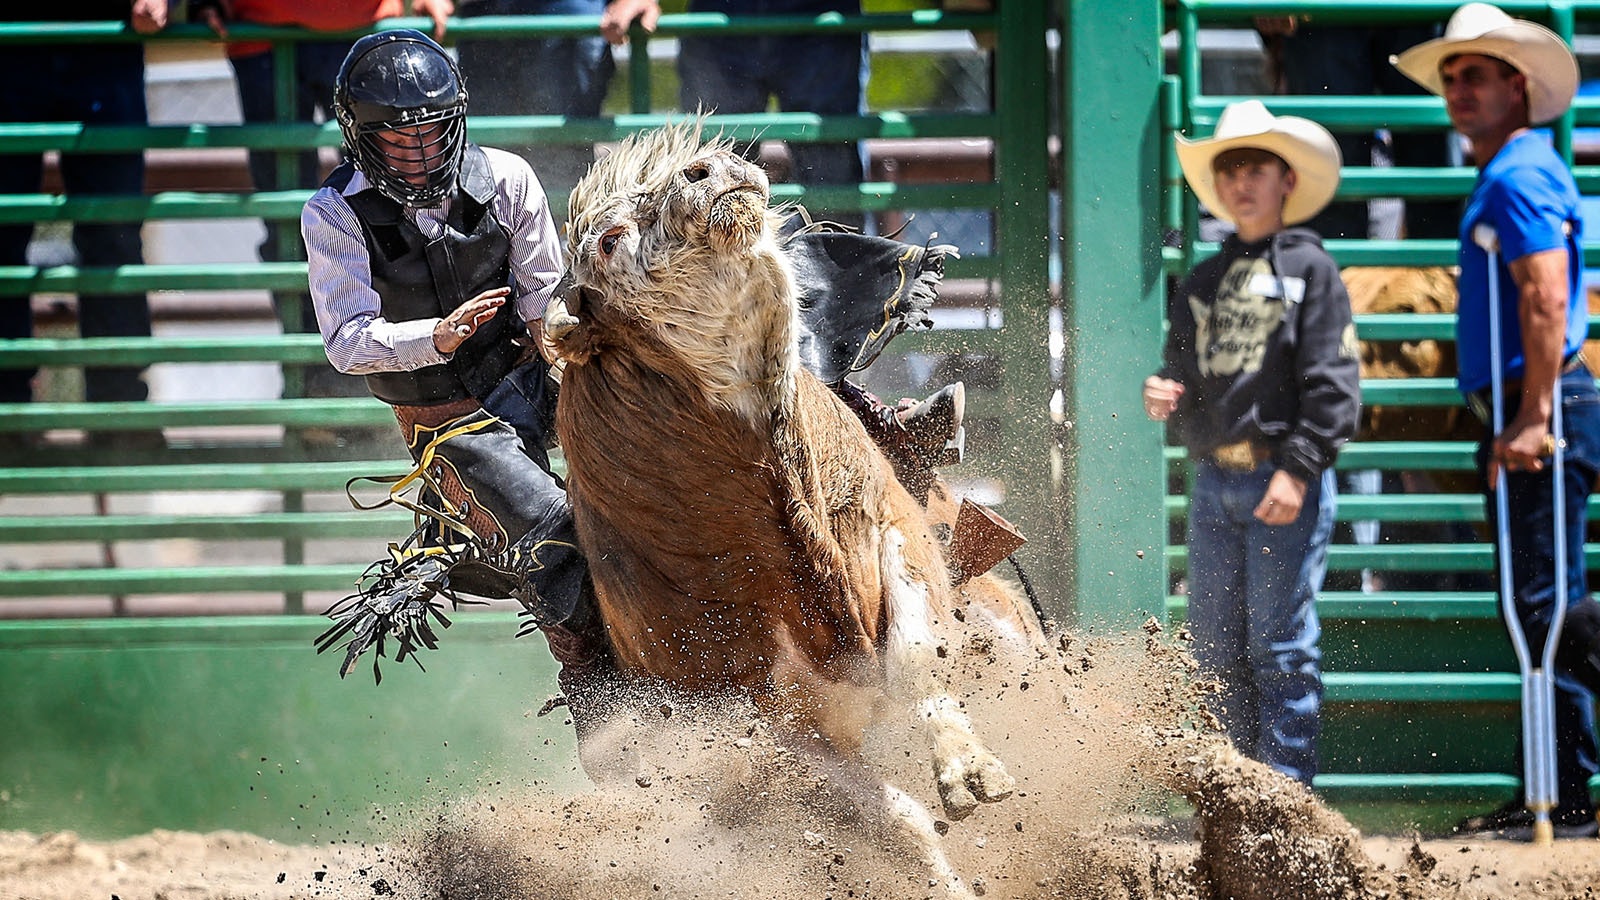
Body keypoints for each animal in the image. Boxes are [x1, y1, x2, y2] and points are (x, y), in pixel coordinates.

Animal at [326, 120, 1049, 896]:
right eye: (610, 240)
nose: (704, 171)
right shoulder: (761, 728)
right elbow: (894, 818)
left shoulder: (896, 533)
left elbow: (916, 654)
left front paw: (970, 771)